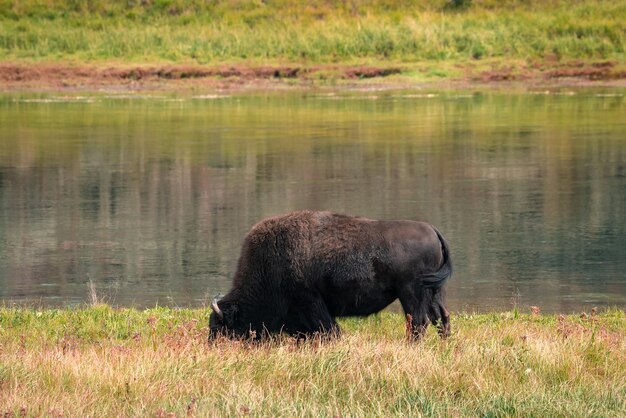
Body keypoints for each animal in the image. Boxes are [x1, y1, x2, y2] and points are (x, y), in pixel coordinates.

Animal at [208, 211, 448, 342]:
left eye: (219, 328)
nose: (213, 346)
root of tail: (432, 230)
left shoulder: (311, 303)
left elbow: (328, 329)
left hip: (411, 294)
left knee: (418, 322)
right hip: (433, 293)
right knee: (440, 318)